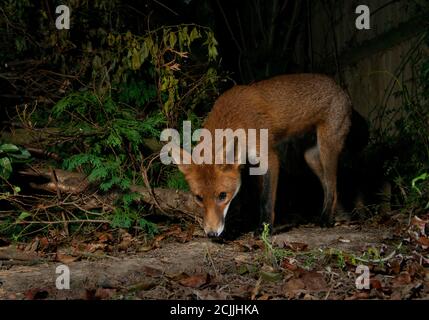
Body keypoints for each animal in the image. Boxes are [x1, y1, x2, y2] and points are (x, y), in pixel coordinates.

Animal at [169, 73, 350, 238]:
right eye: (199, 198)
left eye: (222, 195)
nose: (212, 234)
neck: (237, 117)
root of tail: (339, 87)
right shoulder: (250, 166)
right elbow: (253, 197)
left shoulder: (270, 158)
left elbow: (266, 200)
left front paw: (265, 228)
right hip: (310, 157)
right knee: (329, 186)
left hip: (327, 149)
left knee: (332, 185)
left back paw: (326, 219)